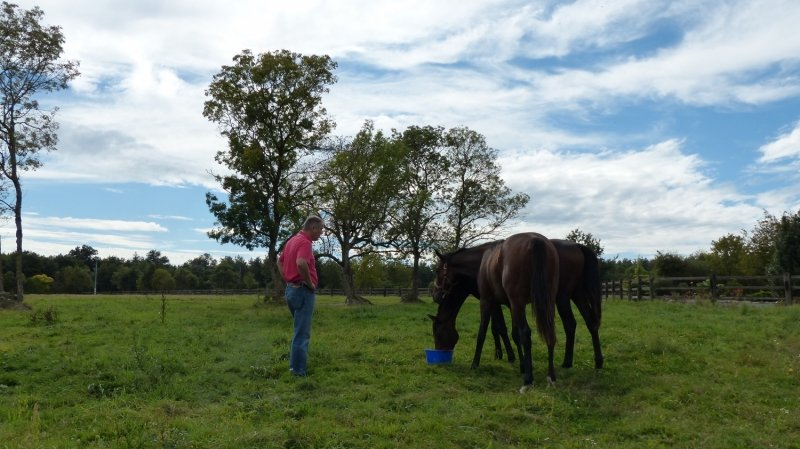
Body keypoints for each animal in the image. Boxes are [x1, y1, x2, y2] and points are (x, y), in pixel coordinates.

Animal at [432, 232, 559, 389]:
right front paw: (514, 361)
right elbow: (505, 331)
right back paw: (551, 376)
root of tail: (534, 240)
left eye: (438, 335)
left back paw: (528, 380)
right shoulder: (504, 304)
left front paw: (477, 363)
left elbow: (487, 332)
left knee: (525, 333)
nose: (435, 295)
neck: (480, 261)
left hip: (518, 303)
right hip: (547, 301)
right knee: (549, 332)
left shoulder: (488, 301)